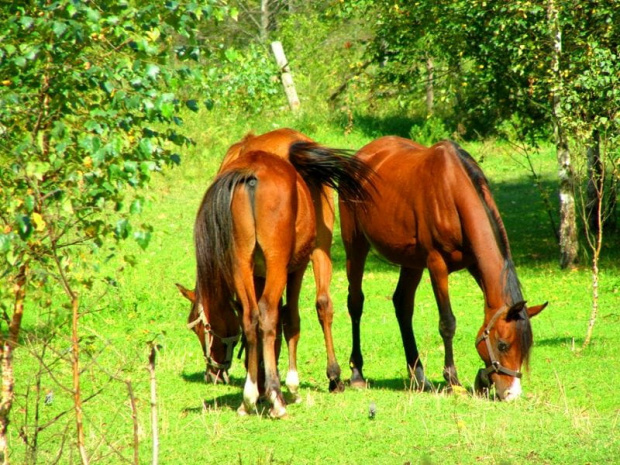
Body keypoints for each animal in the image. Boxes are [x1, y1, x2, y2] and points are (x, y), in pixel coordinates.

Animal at [179, 129, 372, 416]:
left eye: (202, 328)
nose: (212, 374)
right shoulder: (290, 267)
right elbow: (288, 319)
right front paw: (280, 385)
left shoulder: (276, 270)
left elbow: (277, 323)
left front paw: (272, 383)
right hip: (298, 256)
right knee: (287, 311)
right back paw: (282, 393)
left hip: (259, 263)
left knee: (257, 317)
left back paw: (257, 396)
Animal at [340, 135, 548, 398]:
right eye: (502, 345)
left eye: (526, 346)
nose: (512, 394)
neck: (453, 191)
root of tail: (362, 155)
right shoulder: (436, 263)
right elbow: (447, 323)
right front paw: (453, 380)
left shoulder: (474, 263)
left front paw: (482, 378)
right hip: (355, 243)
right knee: (355, 302)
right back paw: (357, 373)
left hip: (411, 261)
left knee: (403, 305)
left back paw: (419, 377)